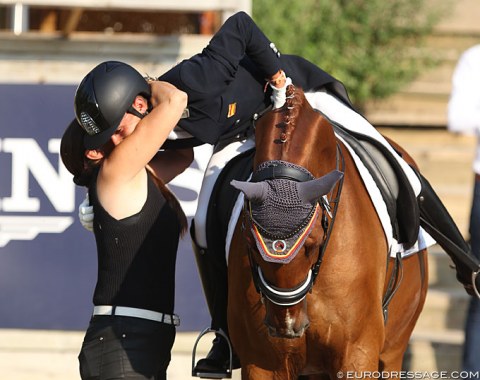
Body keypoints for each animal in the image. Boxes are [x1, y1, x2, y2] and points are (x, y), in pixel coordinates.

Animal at [226, 84, 428, 378]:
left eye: (312, 244)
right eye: (251, 244)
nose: (287, 327)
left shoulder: (357, 355)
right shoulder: (262, 362)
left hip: (393, 351)